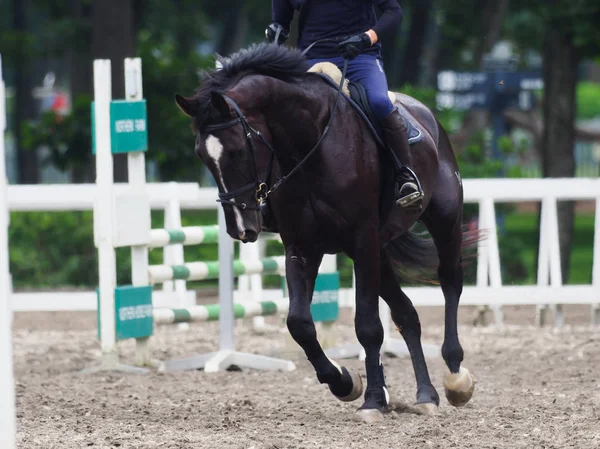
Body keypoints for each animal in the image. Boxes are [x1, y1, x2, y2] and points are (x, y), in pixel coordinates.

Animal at [176, 43, 476, 422]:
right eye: (202, 155)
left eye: (237, 149)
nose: (241, 227)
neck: (309, 144)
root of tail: (426, 115)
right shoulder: (302, 245)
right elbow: (299, 324)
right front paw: (346, 383)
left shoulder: (361, 238)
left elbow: (367, 326)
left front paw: (373, 400)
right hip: (377, 251)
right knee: (407, 313)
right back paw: (425, 395)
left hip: (442, 220)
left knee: (450, 283)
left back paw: (455, 377)